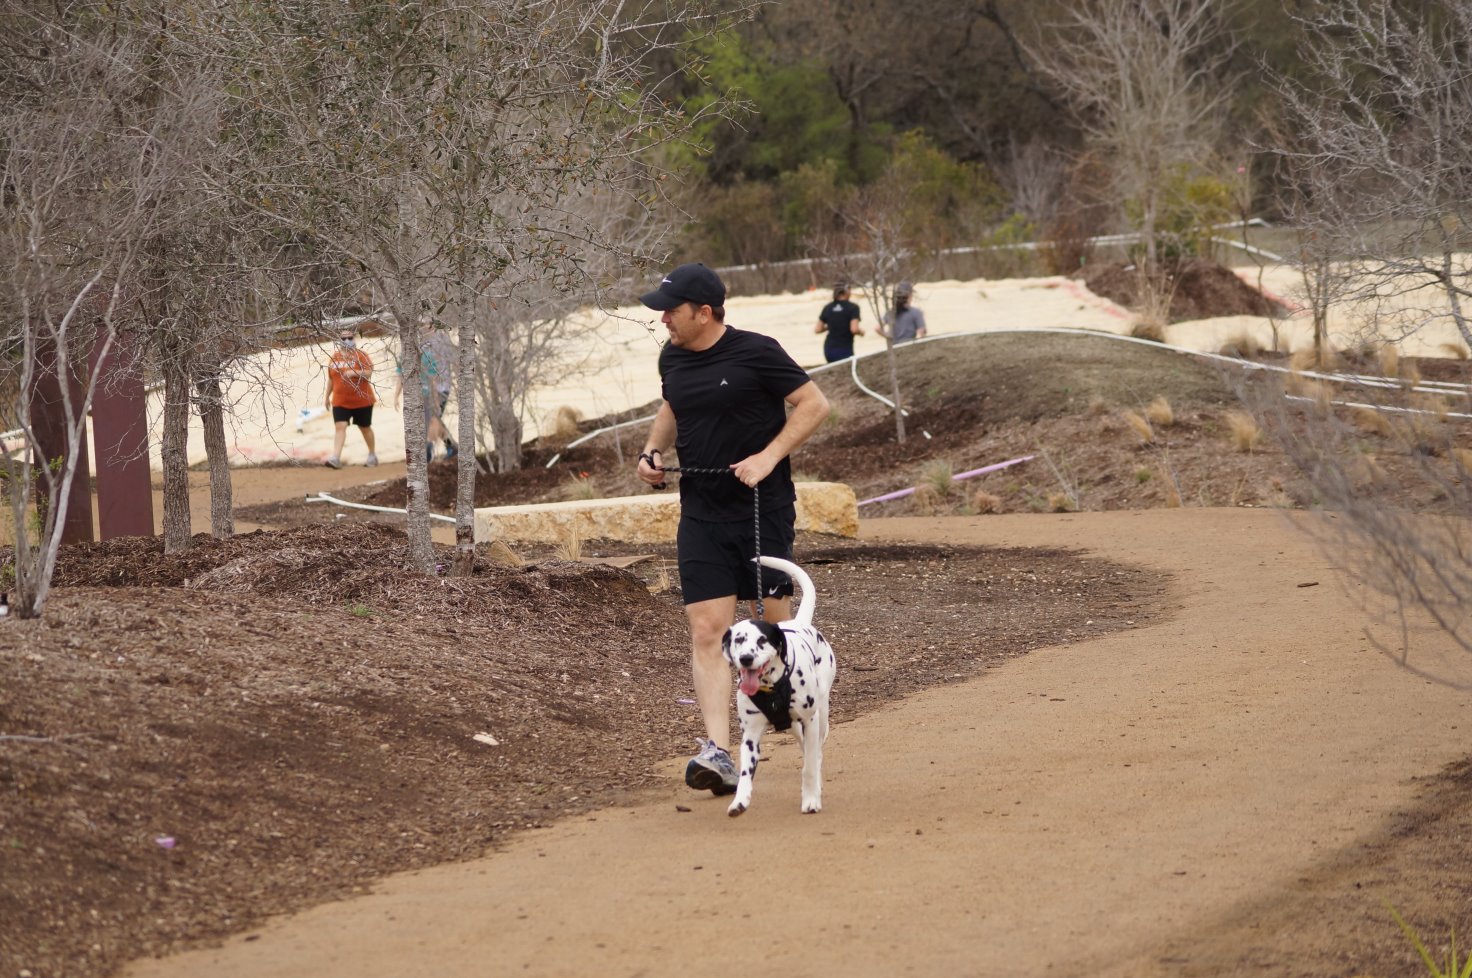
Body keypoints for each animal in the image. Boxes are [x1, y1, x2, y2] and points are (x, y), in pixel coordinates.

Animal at [724, 556, 841, 818]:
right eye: (738, 640)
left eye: (762, 640)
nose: (746, 658)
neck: (772, 687)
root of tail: (799, 622)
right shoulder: (750, 734)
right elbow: (746, 773)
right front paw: (740, 801)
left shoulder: (810, 720)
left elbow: (809, 766)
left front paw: (811, 800)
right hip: (794, 727)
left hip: (820, 715)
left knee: (815, 752)